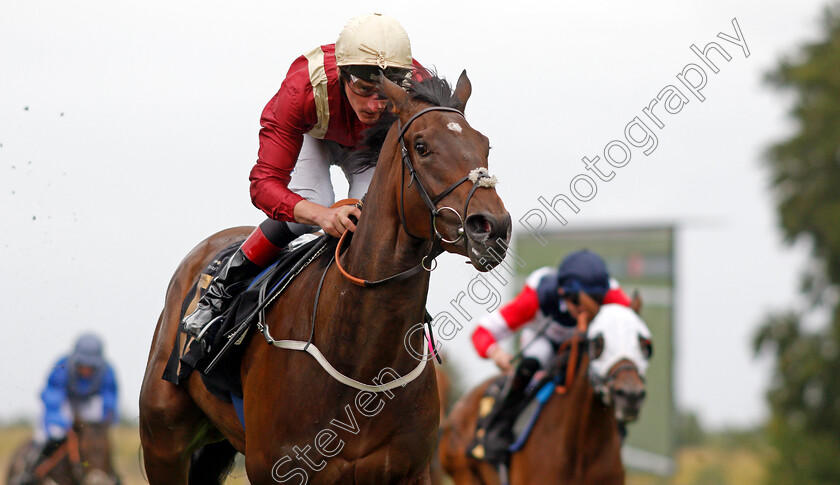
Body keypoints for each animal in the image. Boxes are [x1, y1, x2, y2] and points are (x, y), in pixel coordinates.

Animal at [138, 72, 512, 484]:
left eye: (485, 144)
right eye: (422, 146)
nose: (492, 227)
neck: (362, 358)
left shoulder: (412, 471)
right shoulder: (277, 470)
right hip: (163, 441)